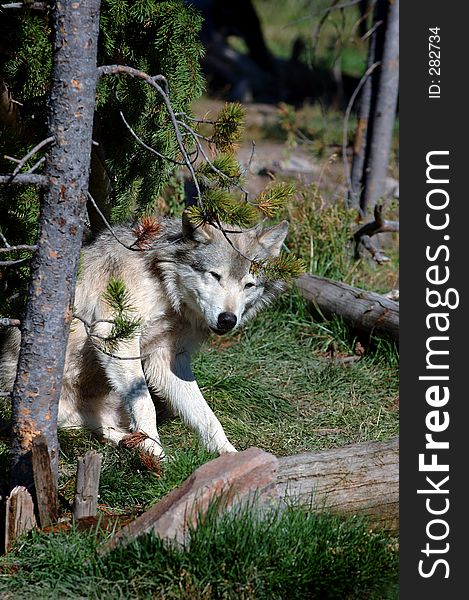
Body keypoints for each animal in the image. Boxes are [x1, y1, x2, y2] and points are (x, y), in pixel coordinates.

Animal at [0, 218, 288, 458]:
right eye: (215, 275)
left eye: (249, 285)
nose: (227, 319)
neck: (163, 285)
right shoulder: (115, 337)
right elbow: (145, 403)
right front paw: (157, 455)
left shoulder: (167, 358)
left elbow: (206, 415)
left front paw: (229, 455)